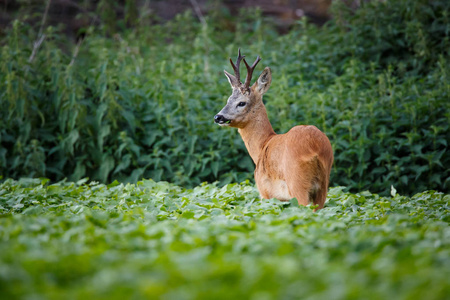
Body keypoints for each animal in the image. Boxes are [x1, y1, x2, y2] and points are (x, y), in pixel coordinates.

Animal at [214, 49, 334, 210]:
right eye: (228, 100)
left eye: (241, 103)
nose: (218, 117)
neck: (263, 144)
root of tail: (315, 148)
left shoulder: (264, 191)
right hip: (324, 184)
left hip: (297, 182)